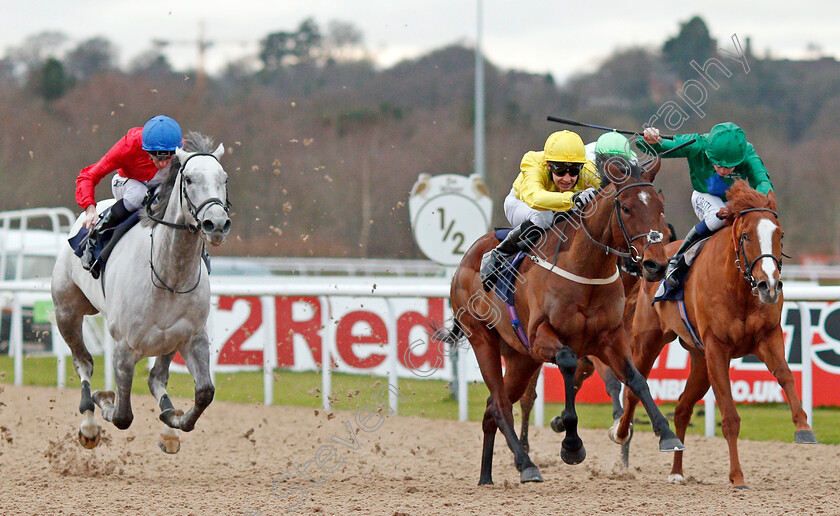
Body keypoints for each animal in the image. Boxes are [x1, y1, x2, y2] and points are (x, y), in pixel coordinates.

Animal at [50, 132, 231, 452]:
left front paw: (175, 420)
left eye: (224, 178)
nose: (217, 224)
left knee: (156, 378)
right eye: (189, 180)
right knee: (84, 363)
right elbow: (122, 415)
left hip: (168, 341)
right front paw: (104, 398)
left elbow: (204, 392)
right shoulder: (124, 346)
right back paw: (89, 425)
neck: (169, 275)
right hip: (67, 312)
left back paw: (169, 426)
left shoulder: (192, 337)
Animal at [442, 163, 684, 486]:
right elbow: (569, 363)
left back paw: (486, 476)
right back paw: (526, 464)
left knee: (494, 406)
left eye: (660, 208)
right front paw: (571, 444)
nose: (655, 265)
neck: (585, 271)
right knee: (502, 405)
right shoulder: (543, 337)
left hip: (521, 357)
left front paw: (666, 434)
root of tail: (466, 260)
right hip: (484, 341)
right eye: (627, 208)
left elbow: (636, 380)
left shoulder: (610, 339)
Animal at [612, 181, 816, 488]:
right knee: (633, 392)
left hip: (700, 360)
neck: (739, 288)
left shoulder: (767, 336)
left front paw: (803, 427)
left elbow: (786, 375)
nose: (769, 285)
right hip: (649, 342)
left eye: (780, 235)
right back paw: (622, 432)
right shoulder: (717, 347)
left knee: (683, 408)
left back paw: (676, 470)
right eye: (745, 236)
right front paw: (737, 476)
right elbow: (729, 417)